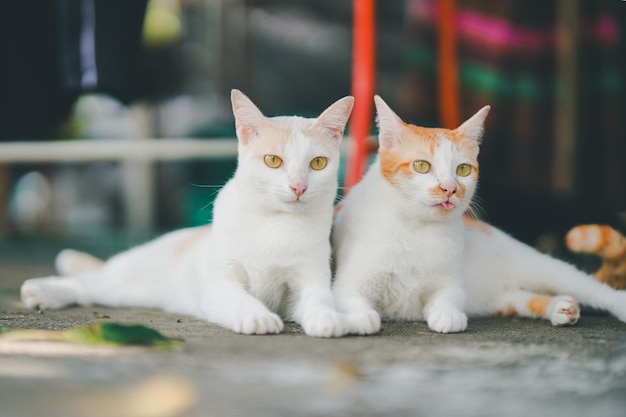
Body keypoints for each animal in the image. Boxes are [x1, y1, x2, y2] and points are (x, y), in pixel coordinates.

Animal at [22, 88, 354, 338]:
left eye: (318, 163)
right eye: (273, 160)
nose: (298, 187)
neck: (274, 223)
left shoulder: (310, 281)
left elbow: (318, 298)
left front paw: (328, 317)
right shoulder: (220, 283)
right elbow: (239, 298)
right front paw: (256, 315)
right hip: (124, 278)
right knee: (87, 282)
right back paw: (40, 291)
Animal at [334, 95, 626, 334]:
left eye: (463, 170)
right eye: (421, 166)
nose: (449, 188)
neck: (417, 228)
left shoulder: (450, 284)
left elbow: (448, 296)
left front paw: (447, 314)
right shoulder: (349, 281)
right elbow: (348, 296)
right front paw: (361, 316)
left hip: (538, 266)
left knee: (588, 286)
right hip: (505, 298)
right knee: (525, 297)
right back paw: (561, 308)